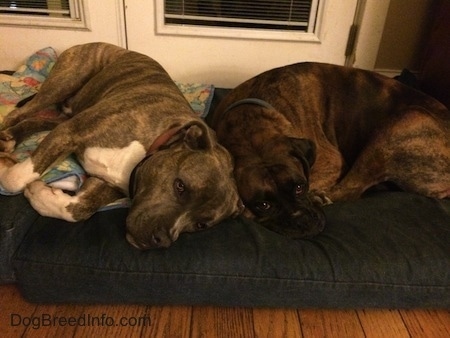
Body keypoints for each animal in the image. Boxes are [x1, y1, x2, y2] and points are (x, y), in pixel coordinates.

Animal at [0, 42, 243, 248]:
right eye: (180, 186)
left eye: (201, 224)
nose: (162, 240)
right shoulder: (70, 132)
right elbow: (15, 180)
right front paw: (7, 170)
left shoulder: (104, 183)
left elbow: (78, 209)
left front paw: (41, 195)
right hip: (64, 82)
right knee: (19, 112)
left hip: (68, 114)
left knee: (37, 120)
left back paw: (11, 137)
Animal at [211, 62, 450, 239]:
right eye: (264, 204)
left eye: (300, 187)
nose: (301, 219)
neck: (248, 123)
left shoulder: (330, 162)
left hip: (405, 122)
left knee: (350, 189)